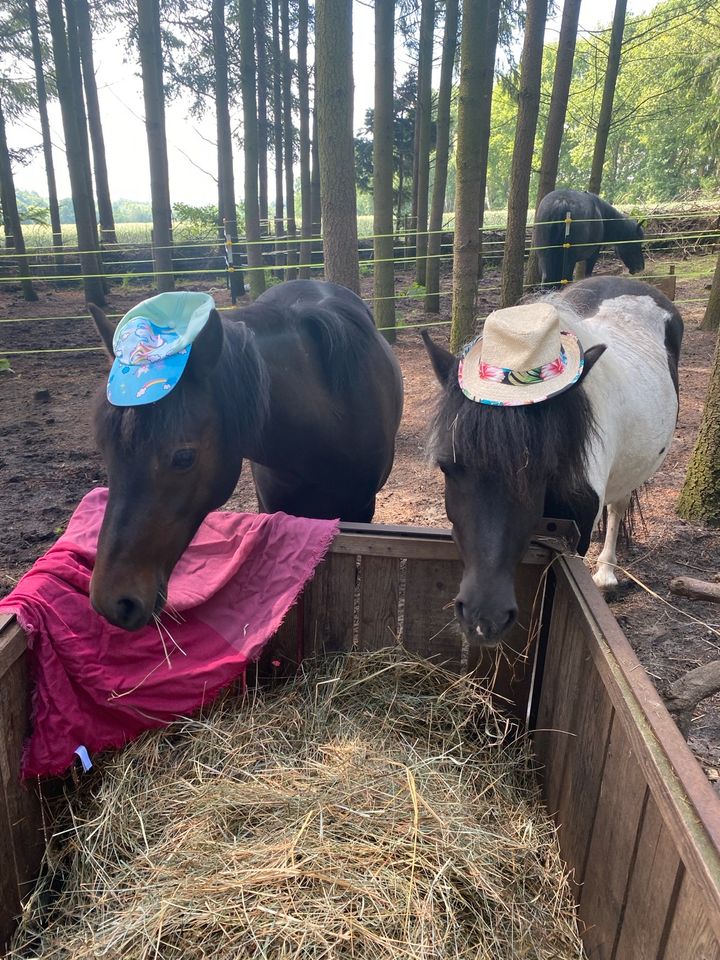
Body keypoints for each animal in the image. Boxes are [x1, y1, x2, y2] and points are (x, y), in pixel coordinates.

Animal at [87, 280, 402, 632]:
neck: (330, 419)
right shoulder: (276, 509)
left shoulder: (362, 511)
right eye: (105, 448)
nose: (112, 601)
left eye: (184, 457)